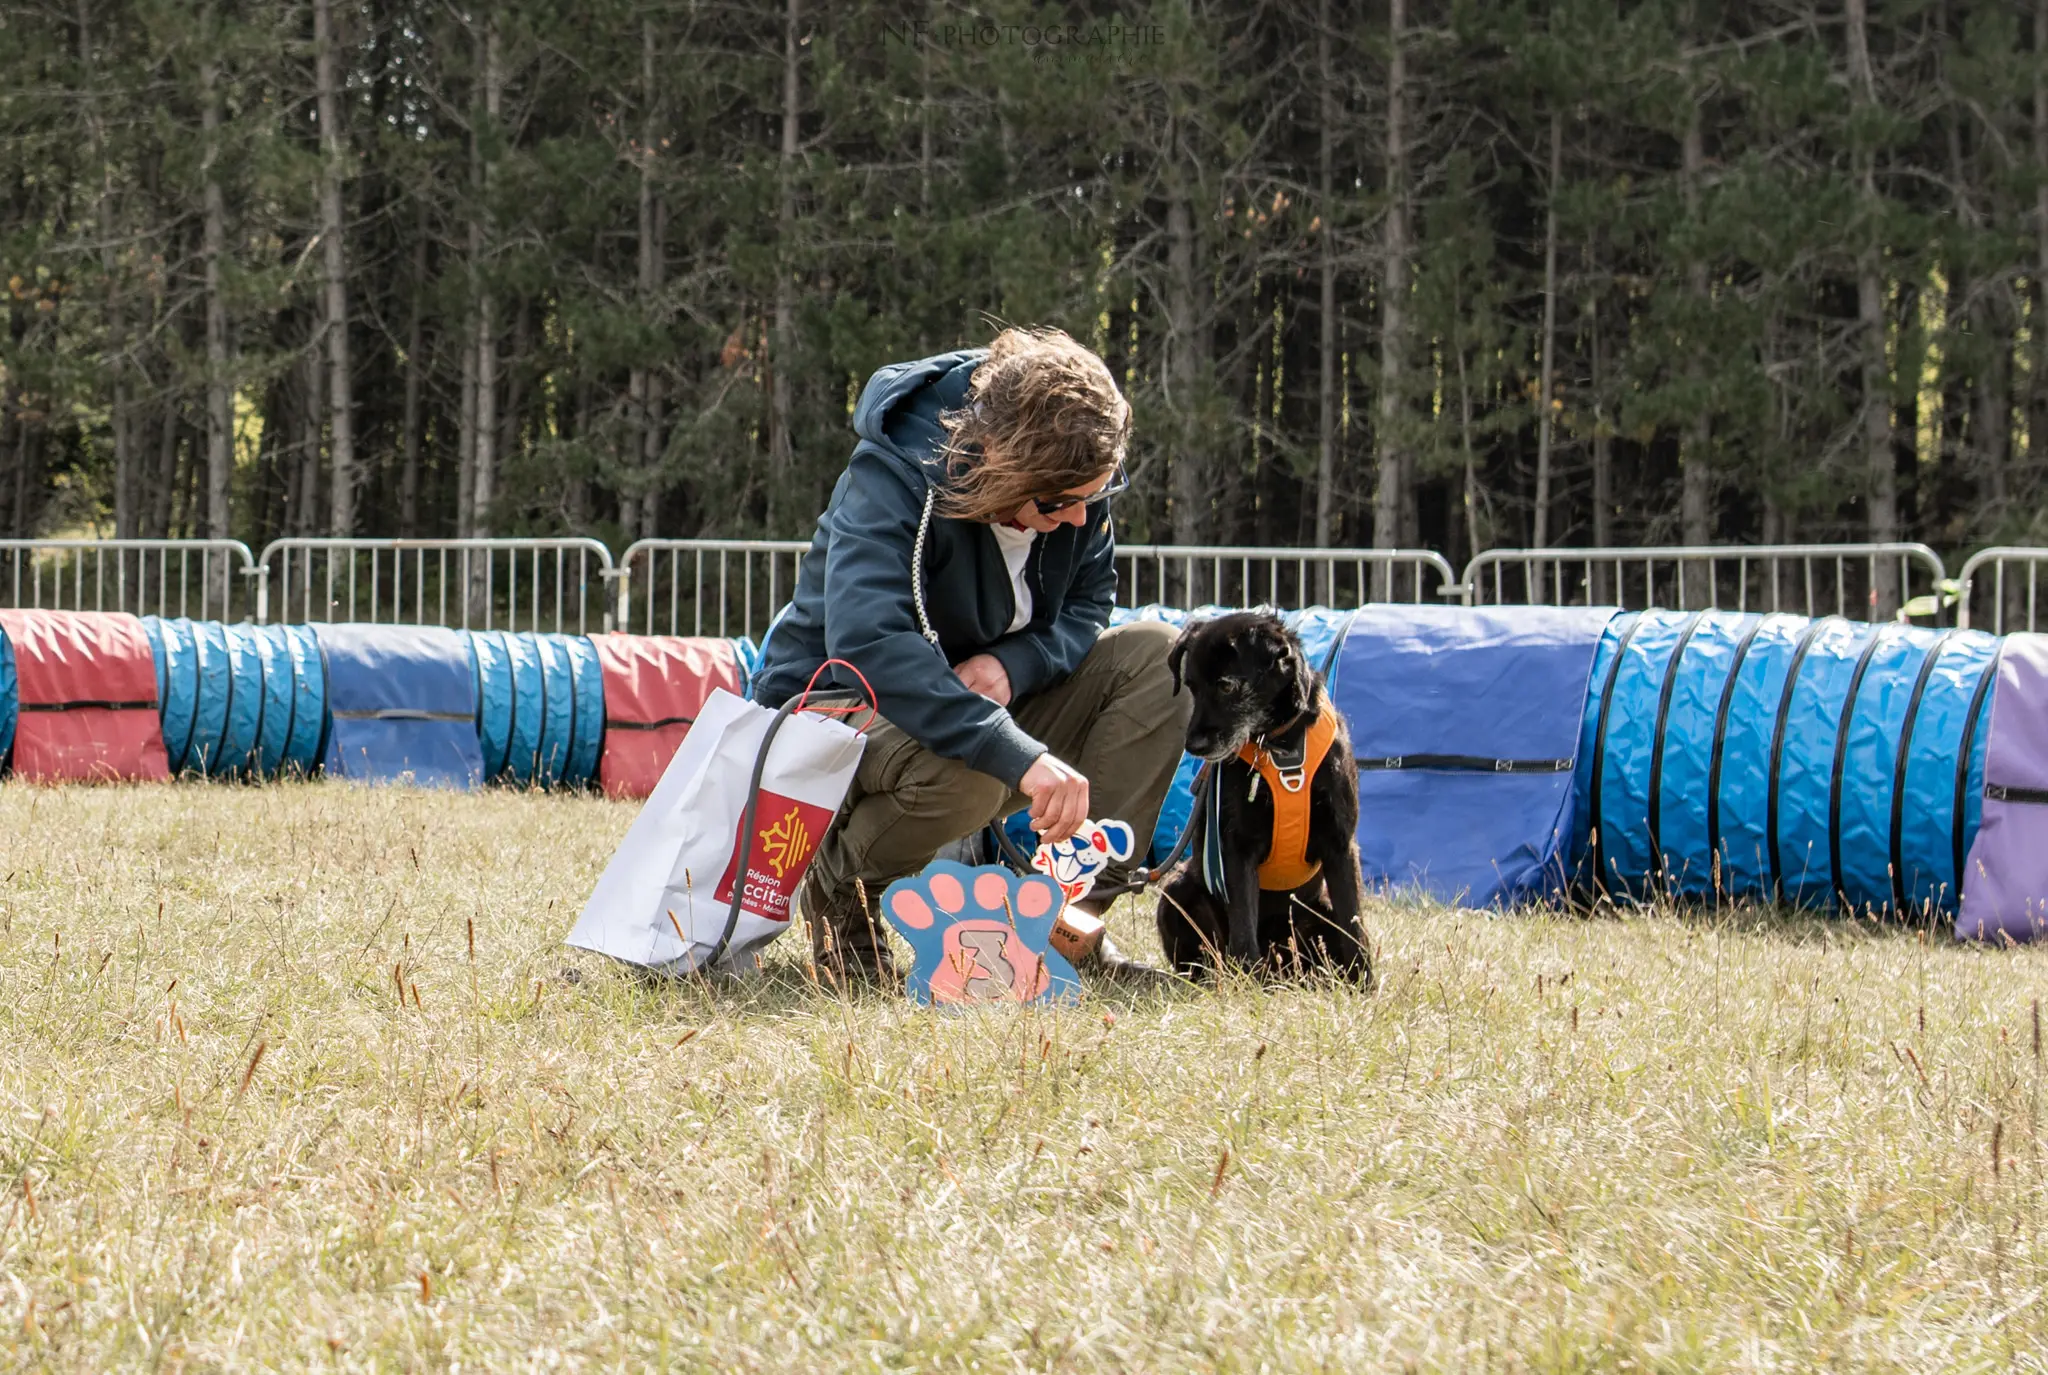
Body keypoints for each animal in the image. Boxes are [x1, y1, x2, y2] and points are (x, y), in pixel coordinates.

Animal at [1163, 614, 1368, 991]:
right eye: (1192, 686)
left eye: (1227, 686)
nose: (1194, 746)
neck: (1280, 745)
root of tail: (1282, 971)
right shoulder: (1236, 847)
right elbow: (1244, 925)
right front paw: (1248, 984)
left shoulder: (1340, 843)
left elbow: (1354, 924)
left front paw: (1365, 986)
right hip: (1176, 892)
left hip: (1319, 908)